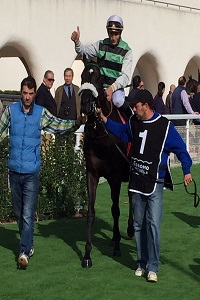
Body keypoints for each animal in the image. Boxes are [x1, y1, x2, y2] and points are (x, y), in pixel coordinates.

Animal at [79, 62, 134, 268]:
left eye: (98, 78)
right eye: (82, 76)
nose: (86, 104)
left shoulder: (115, 176)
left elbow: (115, 210)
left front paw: (117, 246)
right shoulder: (92, 173)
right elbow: (90, 212)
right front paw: (87, 254)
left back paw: (130, 230)